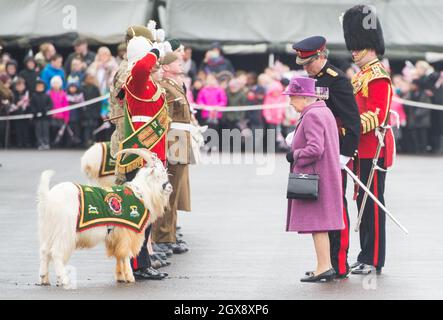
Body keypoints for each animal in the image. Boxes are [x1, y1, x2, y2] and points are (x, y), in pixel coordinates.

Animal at [37, 149, 173, 286]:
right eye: (160, 174)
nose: (169, 187)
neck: (140, 192)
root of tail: (48, 197)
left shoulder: (115, 236)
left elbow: (119, 255)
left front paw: (120, 277)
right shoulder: (127, 232)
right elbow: (126, 255)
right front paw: (130, 277)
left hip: (48, 230)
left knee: (44, 251)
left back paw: (44, 279)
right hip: (64, 231)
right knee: (56, 253)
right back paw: (63, 279)